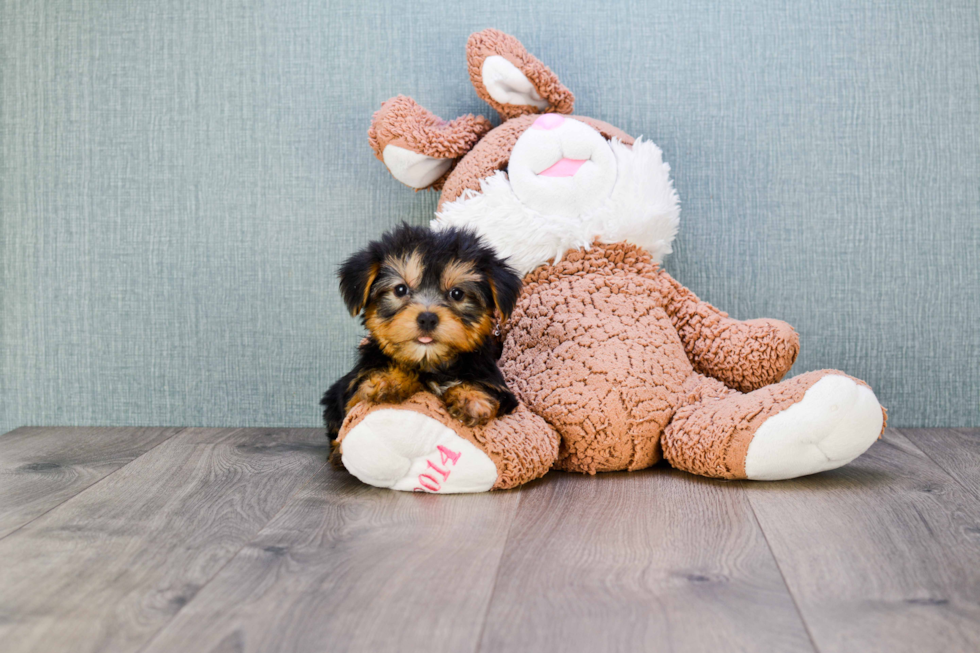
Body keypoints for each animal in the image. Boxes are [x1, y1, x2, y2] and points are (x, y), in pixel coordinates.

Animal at [320, 222, 520, 450]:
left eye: (457, 293)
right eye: (400, 289)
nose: (427, 319)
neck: (429, 362)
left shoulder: (502, 391)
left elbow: (486, 388)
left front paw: (472, 399)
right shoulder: (352, 396)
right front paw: (389, 380)